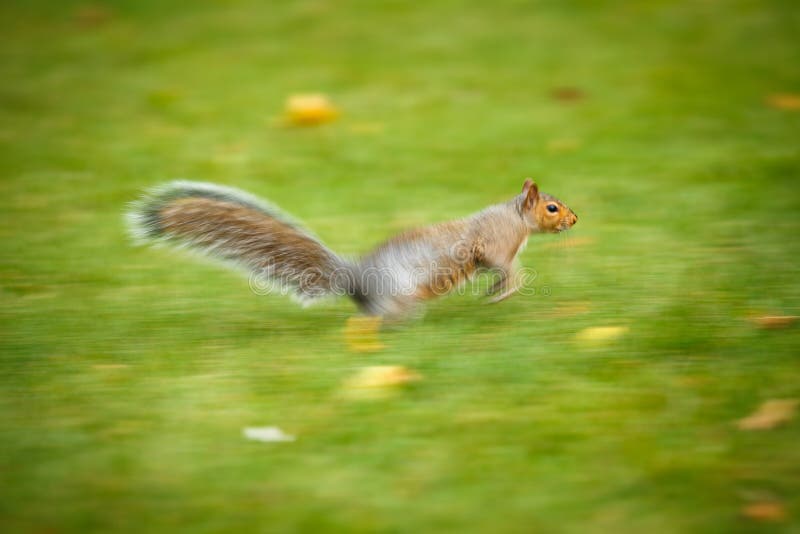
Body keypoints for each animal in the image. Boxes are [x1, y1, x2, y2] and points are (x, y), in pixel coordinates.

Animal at [123, 179, 576, 318]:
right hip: (400, 294)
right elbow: (509, 270)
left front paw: (493, 291)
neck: (514, 218)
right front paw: (504, 293)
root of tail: (354, 278)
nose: (575, 219)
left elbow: (500, 272)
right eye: (552, 207)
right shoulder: (495, 246)